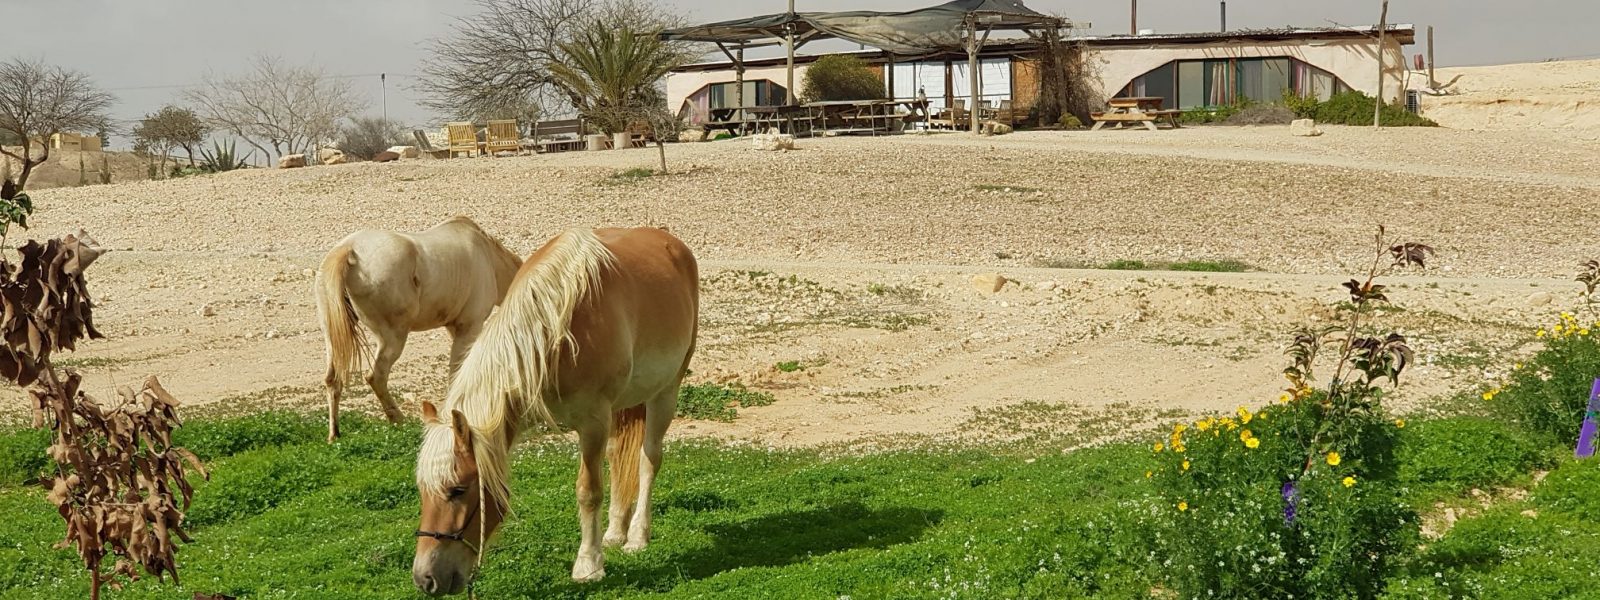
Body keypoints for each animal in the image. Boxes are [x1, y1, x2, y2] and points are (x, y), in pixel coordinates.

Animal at [318, 216, 524, 441]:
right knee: (376, 377)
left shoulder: (456, 328)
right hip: (393, 337)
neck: (489, 257)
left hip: (333, 337)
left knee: (332, 379)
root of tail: (348, 249)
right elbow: (457, 370)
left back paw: (334, 434)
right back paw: (399, 420)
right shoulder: (469, 326)